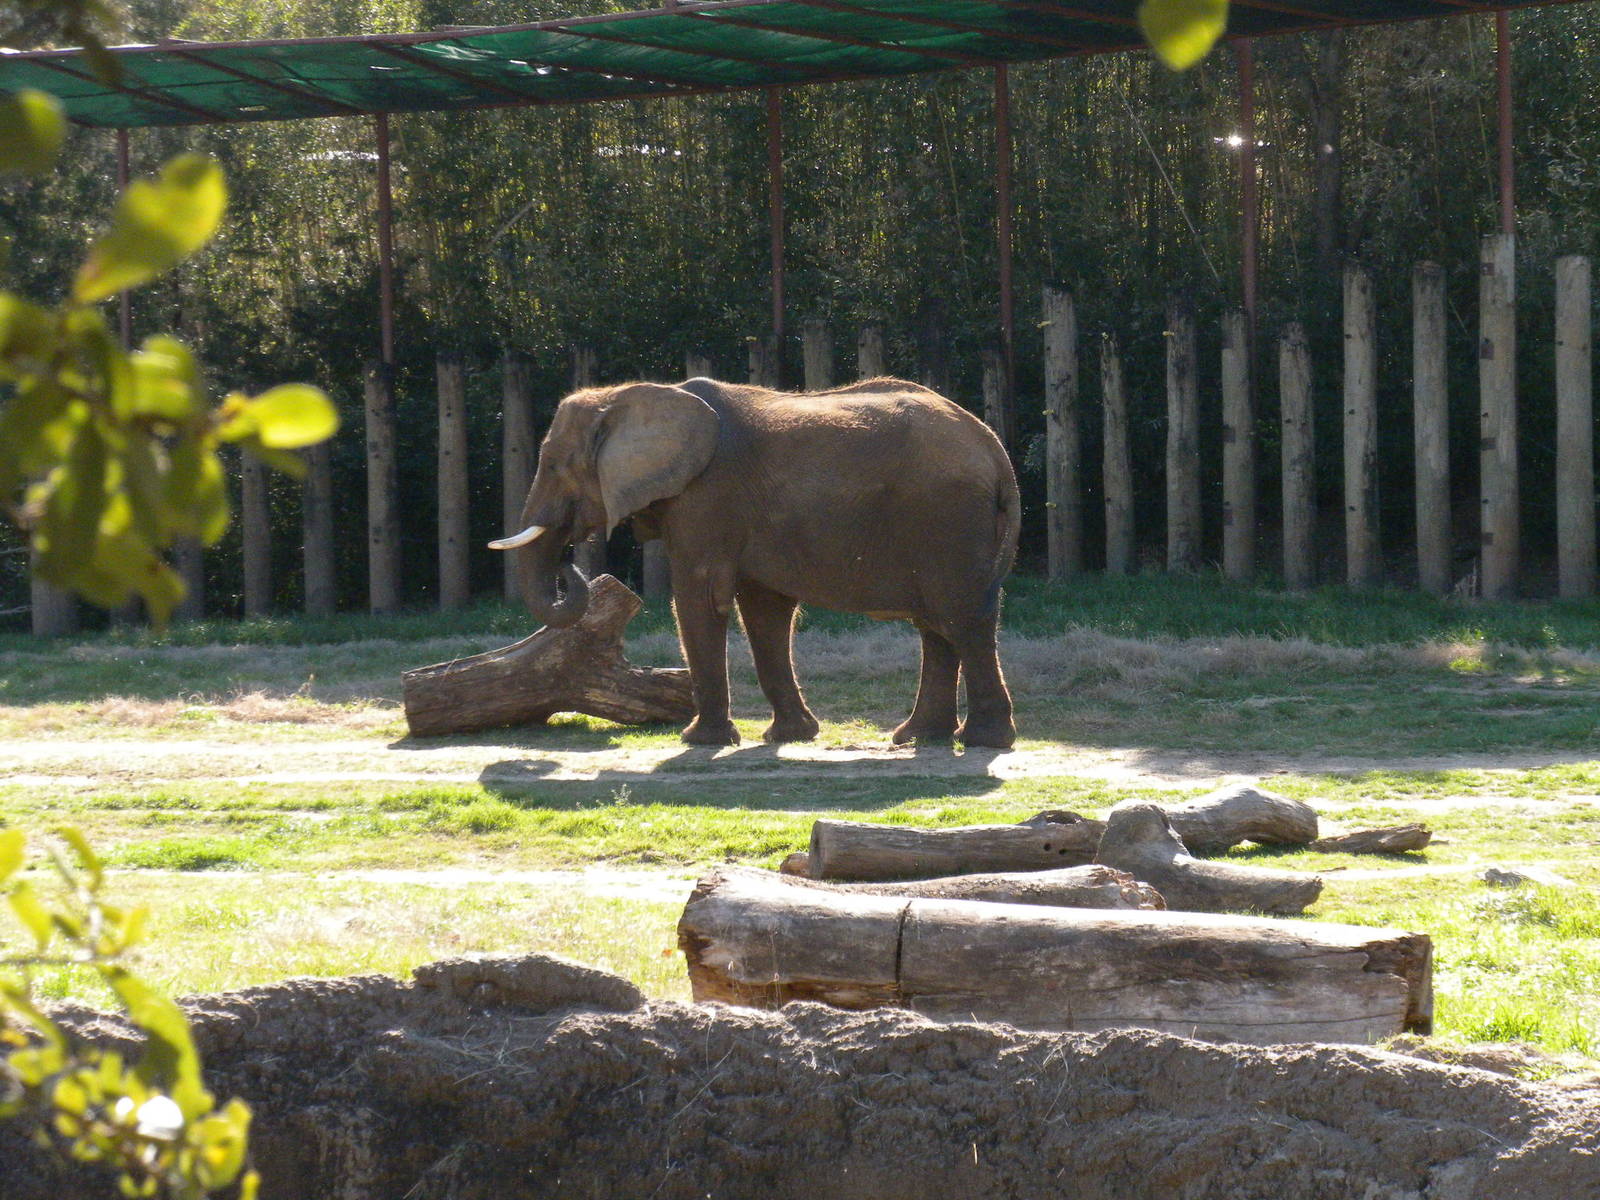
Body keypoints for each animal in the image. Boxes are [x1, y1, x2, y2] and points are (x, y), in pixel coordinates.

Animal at [490, 376, 1020, 748]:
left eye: (554, 465)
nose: (570, 566)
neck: (626, 396)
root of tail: (994, 446)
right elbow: (764, 611)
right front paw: (790, 736)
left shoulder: (705, 497)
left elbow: (700, 600)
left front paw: (698, 741)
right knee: (937, 625)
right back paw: (917, 738)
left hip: (947, 517)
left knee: (962, 618)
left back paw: (982, 742)